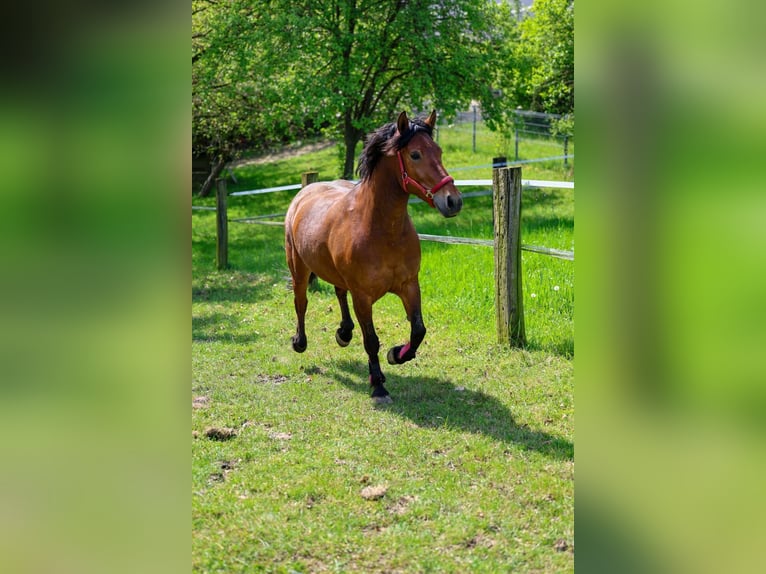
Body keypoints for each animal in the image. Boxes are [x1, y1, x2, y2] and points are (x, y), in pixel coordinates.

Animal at [284, 110, 460, 402]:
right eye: (415, 154)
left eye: (439, 151)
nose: (453, 201)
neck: (382, 231)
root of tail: (304, 192)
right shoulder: (363, 297)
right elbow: (371, 340)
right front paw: (378, 384)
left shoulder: (409, 285)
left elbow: (418, 330)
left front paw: (396, 355)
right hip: (298, 269)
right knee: (301, 302)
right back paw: (300, 342)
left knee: (338, 292)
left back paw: (343, 333)